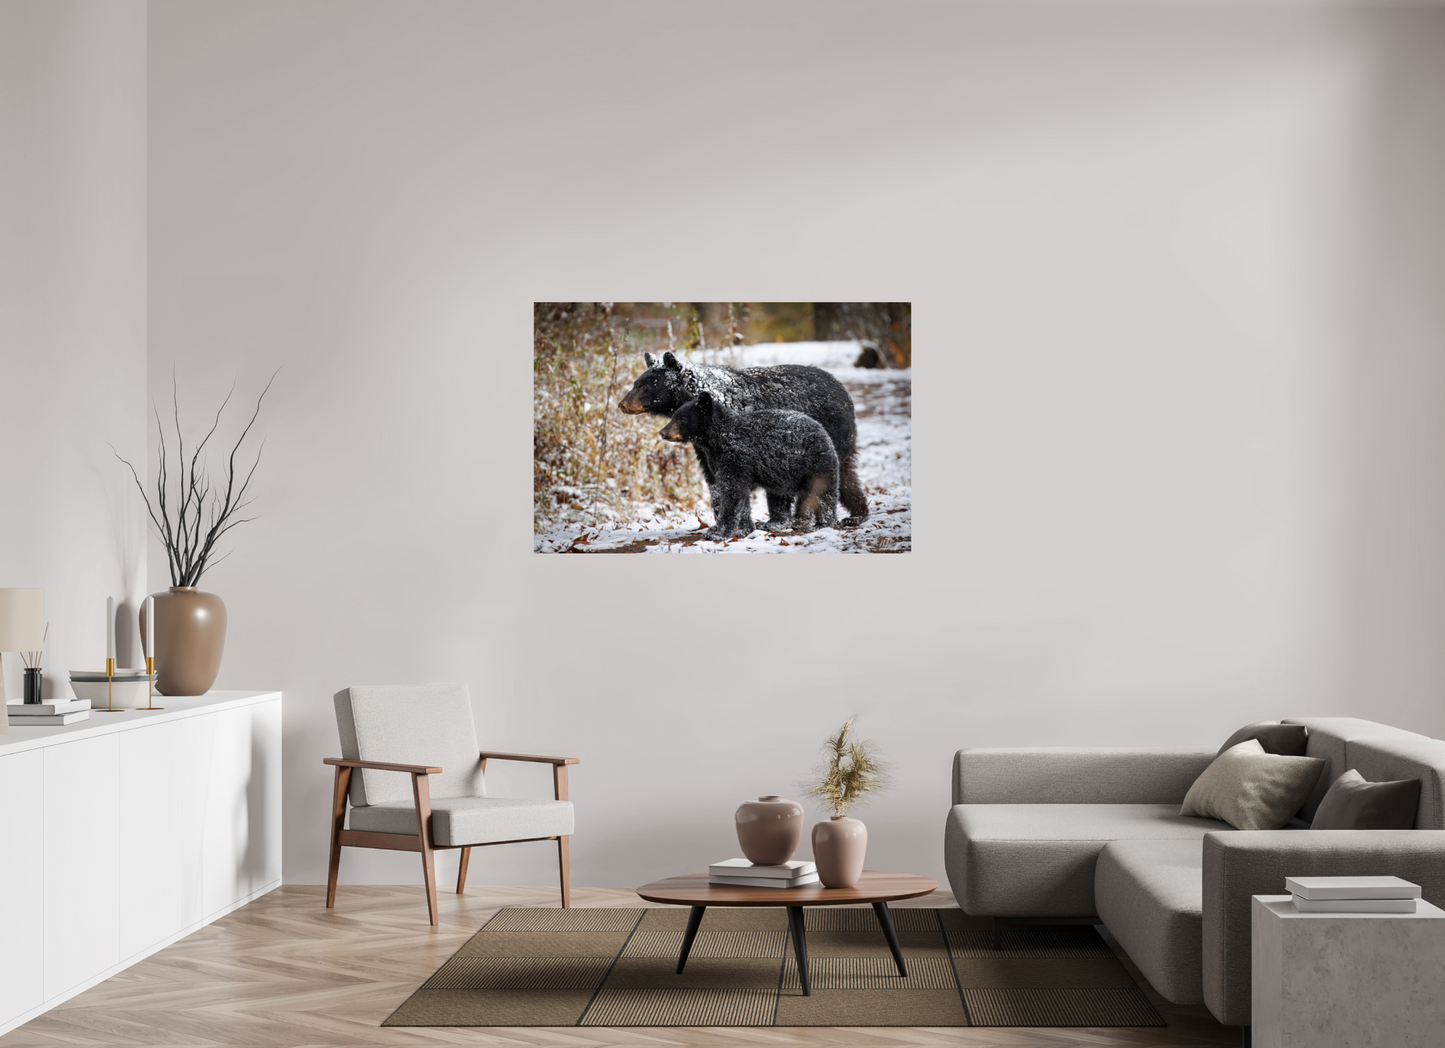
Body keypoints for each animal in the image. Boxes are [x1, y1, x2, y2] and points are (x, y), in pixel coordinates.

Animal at [619, 350, 868, 525]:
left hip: (823, 436)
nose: (622, 404)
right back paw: (858, 514)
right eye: (636, 383)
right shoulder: (705, 446)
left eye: (645, 386)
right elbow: (713, 475)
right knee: (846, 474)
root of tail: (843, 391)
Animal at [659, 392, 839, 541]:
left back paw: (823, 524)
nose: (662, 432)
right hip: (780, 474)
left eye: (681, 419)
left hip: (816, 463)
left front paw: (719, 533)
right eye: (673, 416)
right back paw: (774, 523)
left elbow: (731, 494)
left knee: (824, 494)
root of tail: (822, 430)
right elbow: (741, 498)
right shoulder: (720, 461)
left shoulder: (735, 457)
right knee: (778, 496)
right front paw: (743, 529)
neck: (717, 439)